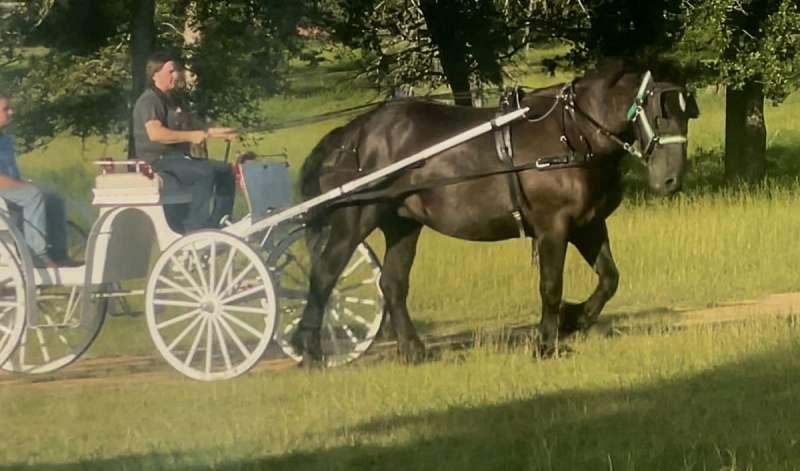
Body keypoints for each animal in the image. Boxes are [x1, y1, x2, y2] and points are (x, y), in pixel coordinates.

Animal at [290, 64, 696, 364]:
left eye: (687, 114)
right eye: (660, 114)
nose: (670, 179)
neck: (573, 133)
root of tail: (354, 133)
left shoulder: (588, 226)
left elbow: (610, 279)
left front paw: (574, 319)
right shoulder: (553, 228)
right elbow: (551, 286)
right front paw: (546, 343)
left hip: (402, 223)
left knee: (392, 284)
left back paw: (415, 351)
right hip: (356, 217)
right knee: (325, 275)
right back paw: (308, 349)